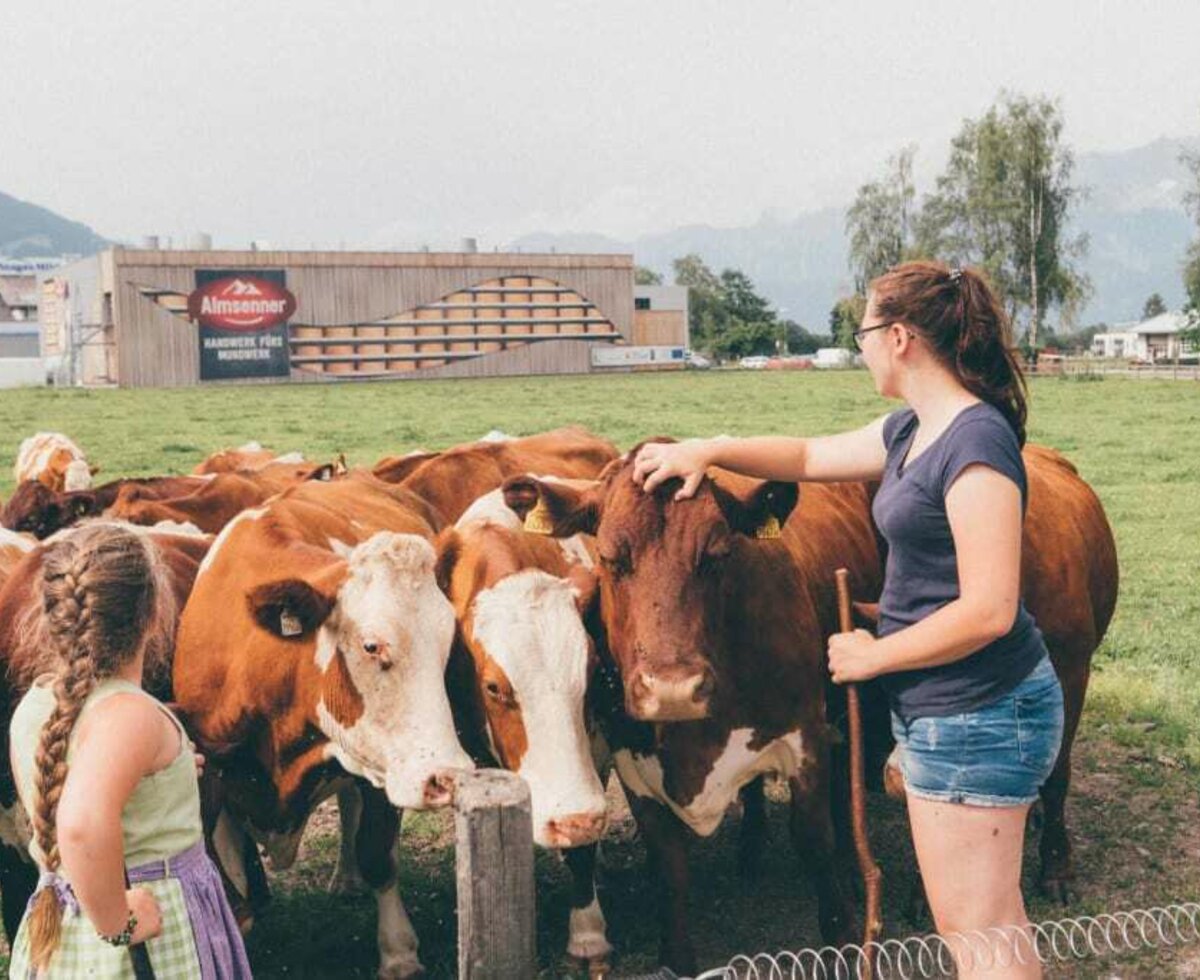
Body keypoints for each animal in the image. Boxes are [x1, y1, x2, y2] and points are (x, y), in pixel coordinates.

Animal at [174, 470, 472, 974]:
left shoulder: (382, 767)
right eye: (371, 646)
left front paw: (398, 953)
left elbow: (377, 853)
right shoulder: (213, 775)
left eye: (448, 640)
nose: (447, 777)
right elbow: (230, 879)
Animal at [436, 489, 614, 969]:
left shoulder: (596, 748)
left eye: (592, 671)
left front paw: (588, 933)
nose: (575, 820)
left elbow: (583, 854)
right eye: (494, 686)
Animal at [501, 455, 878, 974]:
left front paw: (840, 935)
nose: (673, 690)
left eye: (717, 556)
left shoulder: (807, 740)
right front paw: (677, 957)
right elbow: (669, 867)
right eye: (611, 559)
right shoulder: (634, 767)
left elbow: (813, 841)